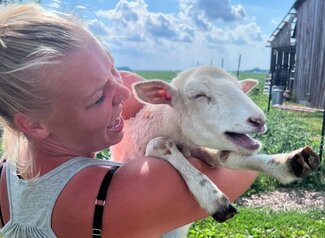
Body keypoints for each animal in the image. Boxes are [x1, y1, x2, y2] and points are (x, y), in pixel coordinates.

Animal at [110, 65, 316, 238]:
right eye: (198, 95)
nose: (259, 120)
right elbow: (159, 143)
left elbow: (223, 157)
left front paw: (287, 163)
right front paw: (213, 198)